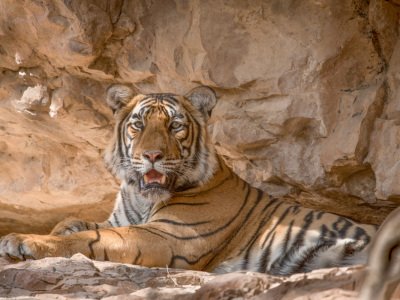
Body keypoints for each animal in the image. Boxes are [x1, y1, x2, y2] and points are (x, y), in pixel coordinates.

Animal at [0, 84, 378, 274]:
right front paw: (50, 230)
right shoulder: (120, 219)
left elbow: (92, 237)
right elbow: (73, 222)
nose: (152, 155)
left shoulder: (167, 237)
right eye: (138, 124)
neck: (142, 196)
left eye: (175, 125)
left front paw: (22, 239)